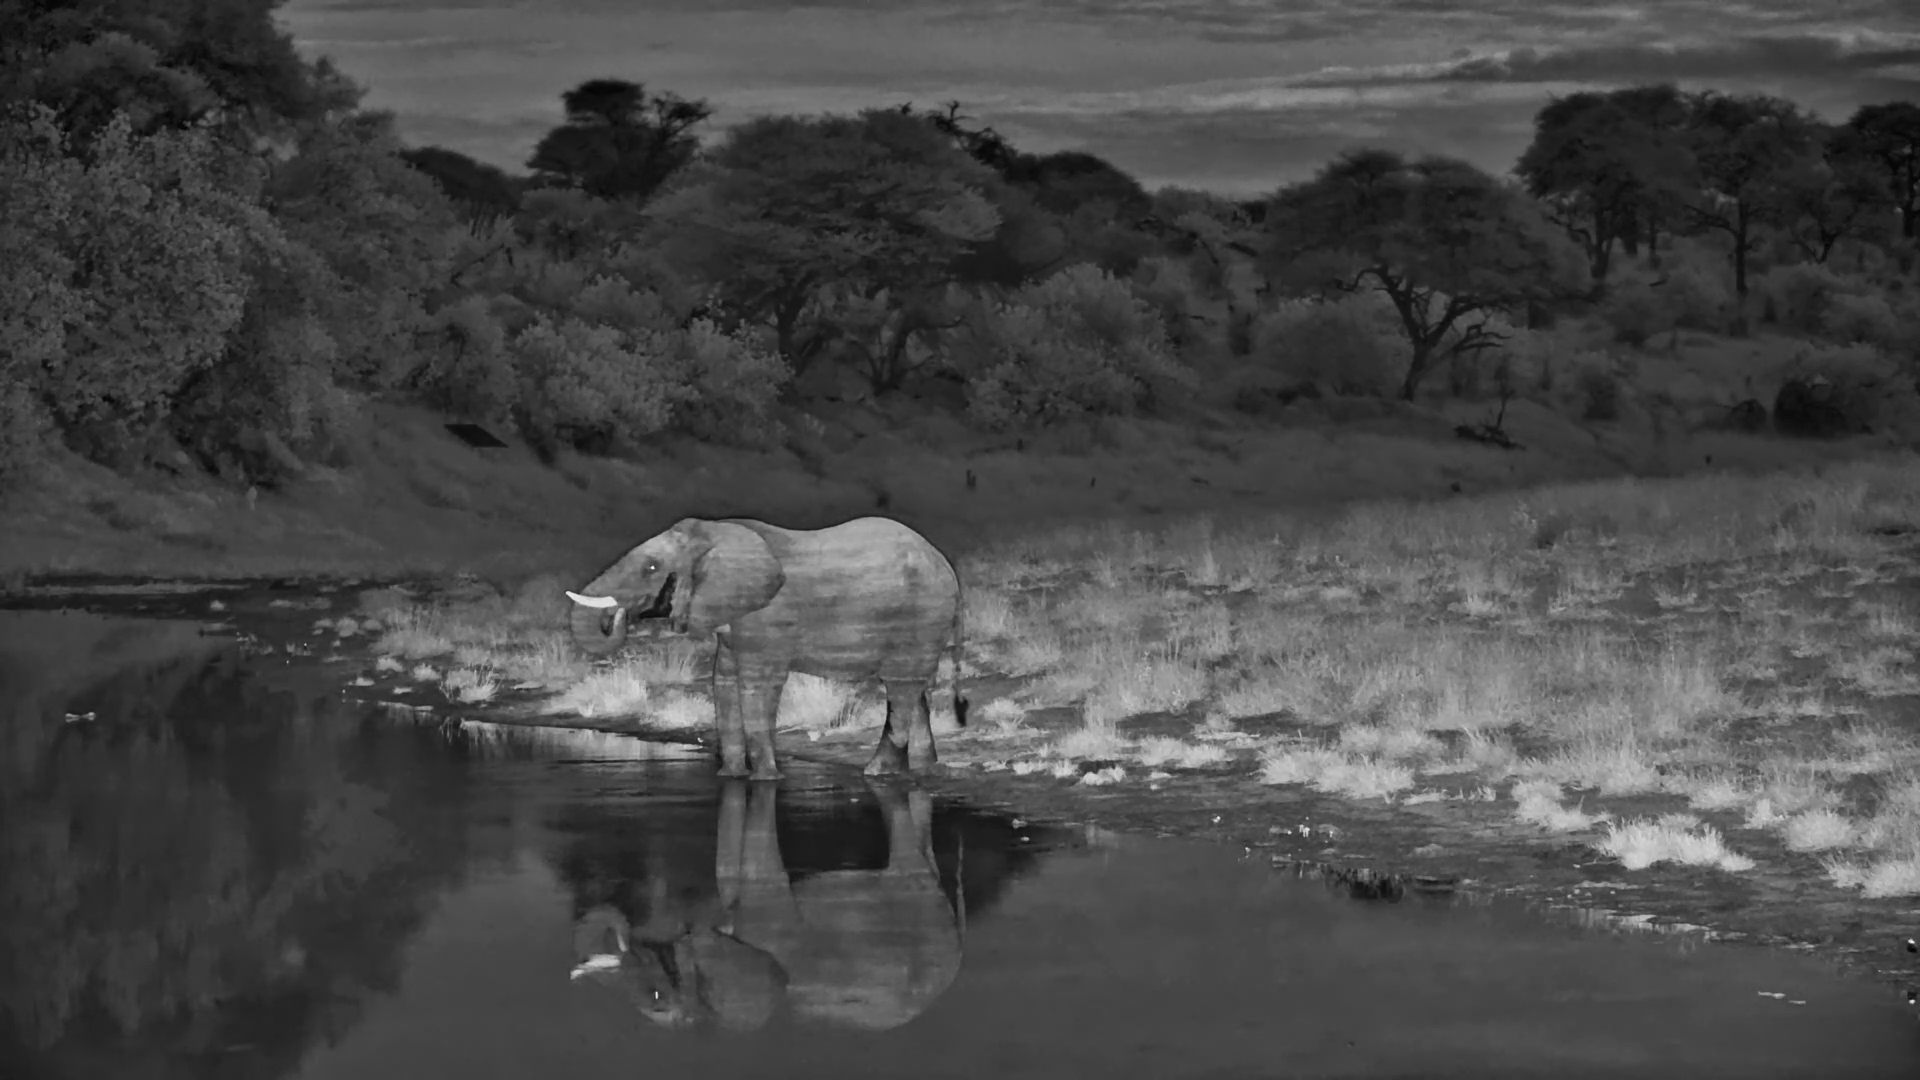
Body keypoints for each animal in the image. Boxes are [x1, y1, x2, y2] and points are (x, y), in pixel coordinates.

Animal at [565, 516, 966, 779]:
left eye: (651, 568)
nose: (621, 615)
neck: (716, 532)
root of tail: (948, 568)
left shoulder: (768, 621)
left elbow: (759, 687)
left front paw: (766, 781)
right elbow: (723, 682)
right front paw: (730, 778)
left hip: (922, 616)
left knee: (900, 690)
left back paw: (876, 773)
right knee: (913, 692)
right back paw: (924, 770)